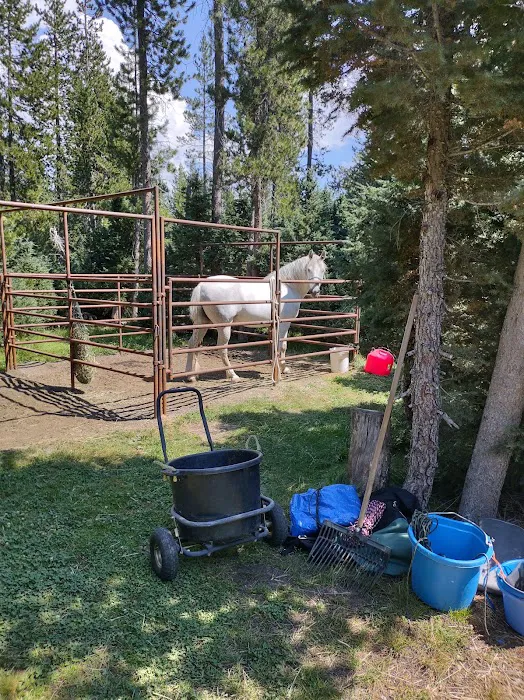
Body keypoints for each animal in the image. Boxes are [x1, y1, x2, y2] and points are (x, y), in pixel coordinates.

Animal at [184, 251, 327, 382]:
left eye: (323, 270)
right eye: (308, 269)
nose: (315, 292)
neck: (287, 287)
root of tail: (202, 285)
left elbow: (278, 345)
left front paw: (280, 368)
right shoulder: (285, 323)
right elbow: (283, 345)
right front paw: (283, 368)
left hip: (203, 324)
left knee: (193, 344)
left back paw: (191, 376)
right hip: (224, 326)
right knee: (222, 349)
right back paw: (233, 375)